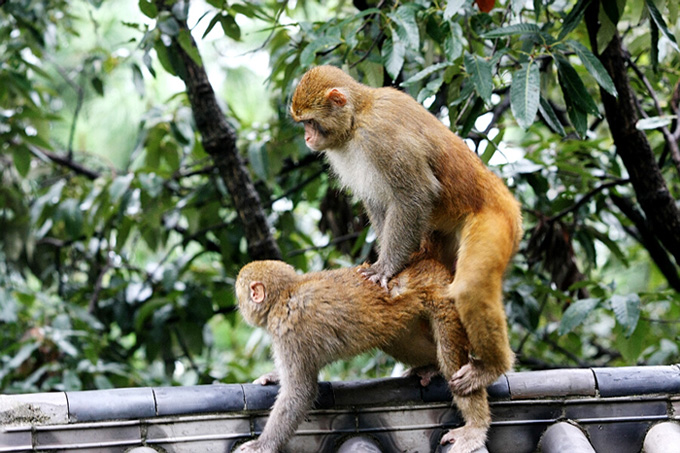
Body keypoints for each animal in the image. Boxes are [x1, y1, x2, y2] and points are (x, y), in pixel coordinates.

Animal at [234, 258, 488, 452]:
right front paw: (273, 376)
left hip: (443, 297)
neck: (285, 294)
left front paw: (262, 445)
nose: (240, 307)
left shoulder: (288, 330)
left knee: (452, 359)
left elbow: (299, 392)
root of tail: (425, 267)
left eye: (239, 296)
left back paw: (476, 425)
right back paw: (432, 366)